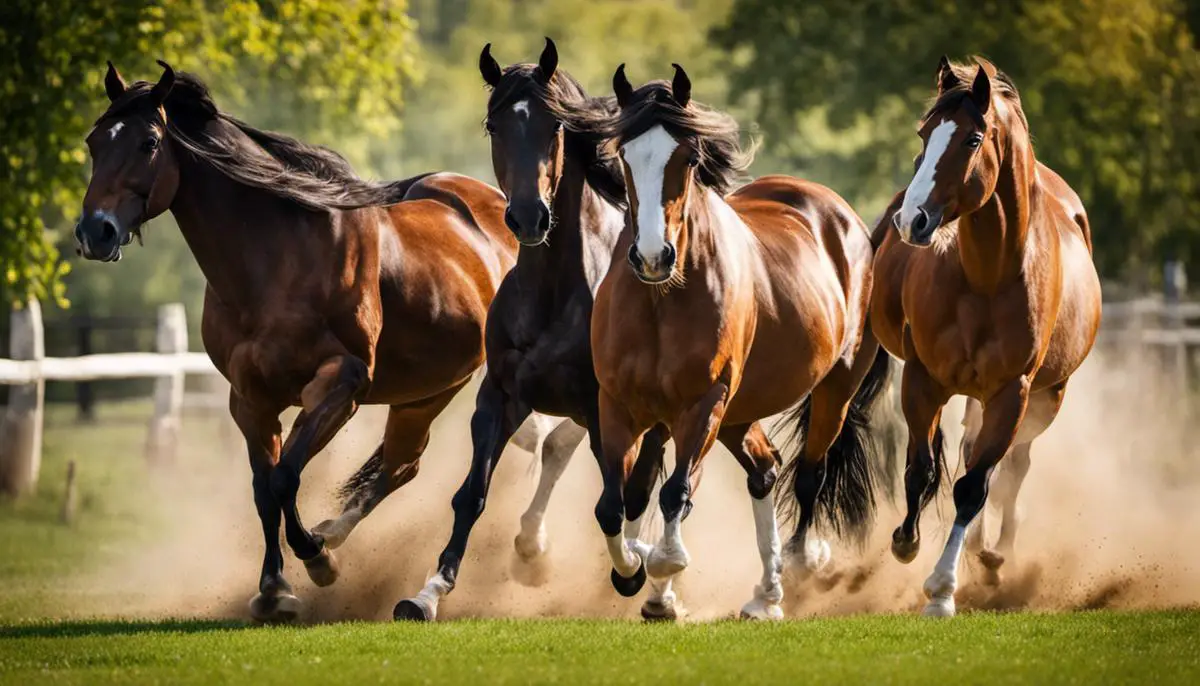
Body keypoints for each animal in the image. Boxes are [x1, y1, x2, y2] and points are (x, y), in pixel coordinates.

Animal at [77, 61, 542, 623]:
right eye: (93, 141)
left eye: (148, 142)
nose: (94, 232)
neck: (277, 259)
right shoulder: (249, 398)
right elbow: (263, 488)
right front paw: (274, 586)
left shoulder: (341, 385)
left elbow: (285, 478)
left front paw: (316, 564)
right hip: (425, 392)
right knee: (401, 464)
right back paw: (334, 533)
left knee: (402, 465)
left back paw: (336, 545)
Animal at [396, 38, 672, 623]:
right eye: (494, 125)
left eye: (555, 126)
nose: (528, 218)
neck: (552, 294)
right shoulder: (500, 397)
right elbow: (471, 495)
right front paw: (428, 593)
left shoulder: (601, 410)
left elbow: (612, 504)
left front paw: (630, 571)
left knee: (641, 485)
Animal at [595, 65, 897, 623]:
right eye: (624, 154)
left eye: (689, 157)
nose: (652, 257)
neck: (660, 301)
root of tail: (846, 220)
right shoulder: (620, 405)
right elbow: (615, 503)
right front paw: (633, 572)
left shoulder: (704, 402)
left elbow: (674, 494)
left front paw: (662, 564)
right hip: (736, 413)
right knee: (764, 469)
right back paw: (763, 596)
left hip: (831, 389)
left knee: (808, 473)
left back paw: (798, 565)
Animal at [868, 57, 1099, 614]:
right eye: (924, 133)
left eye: (973, 139)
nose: (912, 220)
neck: (987, 276)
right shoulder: (922, 381)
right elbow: (921, 470)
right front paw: (905, 542)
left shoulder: (1012, 393)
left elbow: (974, 487)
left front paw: (942, 588)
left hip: (1044, 400)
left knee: (1010, 470)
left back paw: (994, 558)